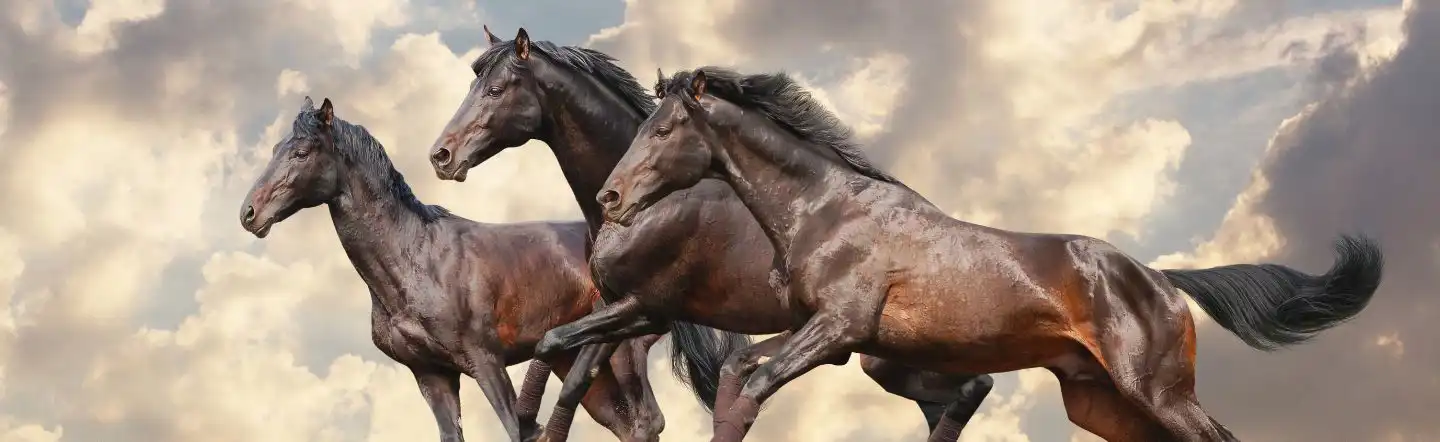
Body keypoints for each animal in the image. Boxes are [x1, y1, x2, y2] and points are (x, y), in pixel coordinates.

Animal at [238, 97, 715, 442]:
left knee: (644, 422)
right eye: (278, 149)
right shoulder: (432, 376)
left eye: (301, 152)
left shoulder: (486, 362)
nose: (249, 213)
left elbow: (515, 429)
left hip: (620, 352)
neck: (416, 258)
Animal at [428, 26, 994, 441]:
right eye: (472, 85)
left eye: (496, 89)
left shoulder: (648, 308)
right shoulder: (618, 310)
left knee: (974, 385)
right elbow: (567, 368)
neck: (658, 201)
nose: (441, 156)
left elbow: (565, 360)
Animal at [556, 66, 1386, 442]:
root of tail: (1160, 279)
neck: (828, 210)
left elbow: (753, 384)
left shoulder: (837, 331)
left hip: (1156, 391)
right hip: (1103, 402)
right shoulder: (823, 336)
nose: (612, 199)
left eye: (664, 129)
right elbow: (735, 376)